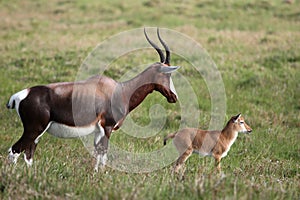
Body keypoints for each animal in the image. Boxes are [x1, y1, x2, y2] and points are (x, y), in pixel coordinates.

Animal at [7, 28, 179, 172]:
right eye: (168, 74)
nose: (174, 97)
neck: (121, 90)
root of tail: (20, 95)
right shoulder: (107, 127)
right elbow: (104, 153)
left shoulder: (98, 131)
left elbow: (98, 154)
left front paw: (95, 173)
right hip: (33, 129)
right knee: (14, 150)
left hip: (37, 133)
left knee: (28, 153)